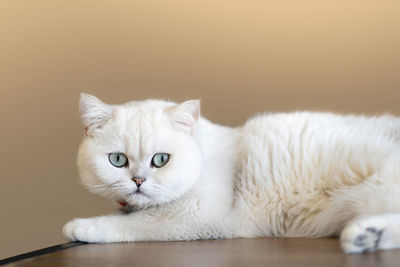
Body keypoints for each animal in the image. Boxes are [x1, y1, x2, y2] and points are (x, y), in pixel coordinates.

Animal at [63, 93, 400, 253]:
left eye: (160, 160)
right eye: (118, 160)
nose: (138, 181)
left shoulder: (199, 216)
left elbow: (133, 224)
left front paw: (81, 227)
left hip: (379, 188)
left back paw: (363, 235)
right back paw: (367, 238)